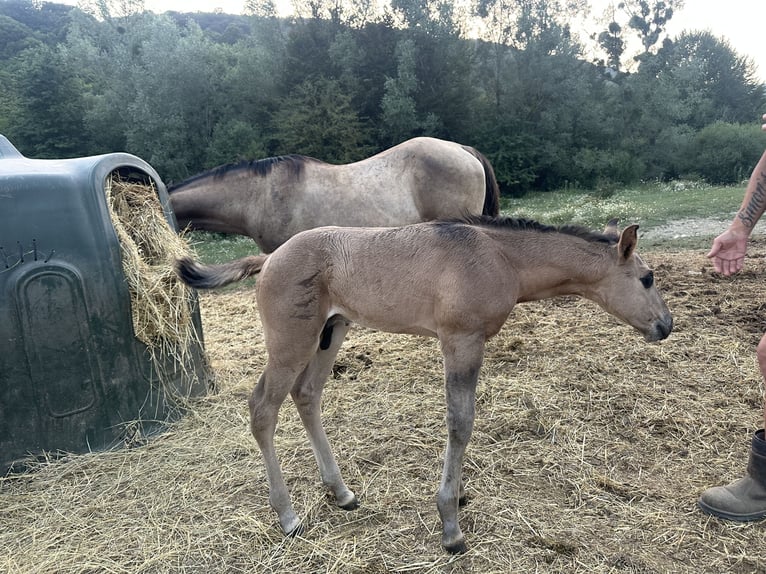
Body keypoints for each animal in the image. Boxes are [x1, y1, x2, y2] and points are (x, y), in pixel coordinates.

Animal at [175, 216, 673, 554]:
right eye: (647, 278)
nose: (666, 326)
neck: (499, 256)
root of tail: (269, 258)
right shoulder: (461, 340)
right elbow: (460, 422)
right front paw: (450, 523)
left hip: (331, 333)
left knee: (307, 395)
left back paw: (341, 493)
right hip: (291, 343)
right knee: (263, 408)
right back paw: (288, 516)